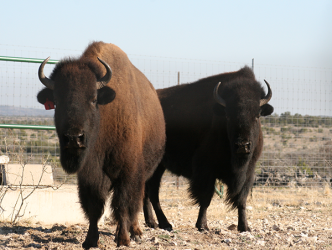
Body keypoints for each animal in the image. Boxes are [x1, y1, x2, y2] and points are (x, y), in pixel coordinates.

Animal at [36, 41, 166, 248]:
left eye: (93, 99)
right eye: (56, 101)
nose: (74, 138)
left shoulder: (128, 172)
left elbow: (123, 205)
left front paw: (123, 239)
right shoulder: (90, 174)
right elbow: (94, 206)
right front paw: (90, 240)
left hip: (144, 171)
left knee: (136, 201)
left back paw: (135, 232)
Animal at [143, 66, 272, 232]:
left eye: (257, 115)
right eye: (228, 116)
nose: (242, 146)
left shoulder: (248, 171)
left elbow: (241, 199)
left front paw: (244, 227)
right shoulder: (206, 170)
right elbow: (205, 198)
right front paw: (202, 225)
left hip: (157, 166)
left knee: (147, 191)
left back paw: (152, 222)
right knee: (152, 192)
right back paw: (165, 223)